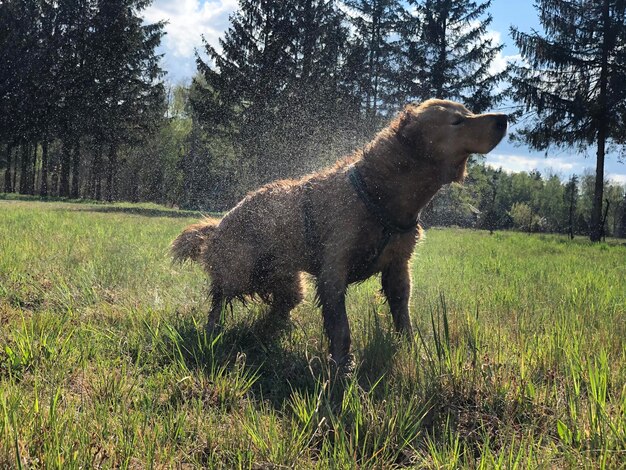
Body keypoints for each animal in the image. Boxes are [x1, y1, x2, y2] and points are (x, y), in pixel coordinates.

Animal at [172, 98, 508, 364]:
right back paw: (212, 332)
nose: (504, 119)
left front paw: (412, 351)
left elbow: (403, 316)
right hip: (239, 270)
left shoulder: (398, 267)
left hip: (288, 283)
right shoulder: (334, 269)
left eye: (469, 111)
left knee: (280, 308)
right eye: (457, 120)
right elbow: (341, 329)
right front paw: (342, 371)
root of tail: (218, 223)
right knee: (219, 299)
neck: (378, 194)